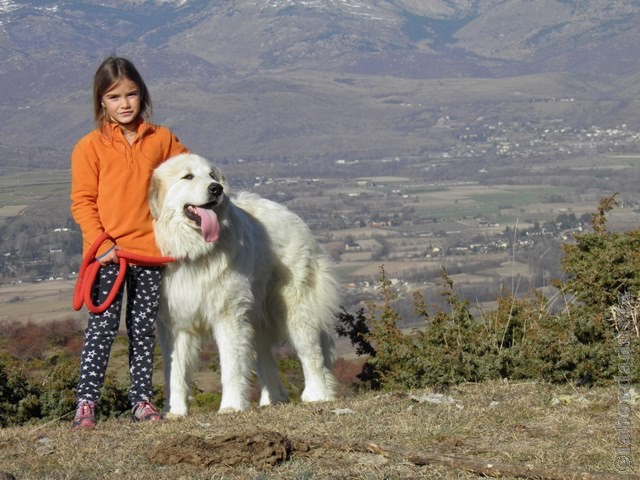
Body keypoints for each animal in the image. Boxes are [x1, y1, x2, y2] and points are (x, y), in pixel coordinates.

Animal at [150, 154, 340, 416]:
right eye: (188, 176)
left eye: (212, 175)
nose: (216, 189)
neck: (195, 251)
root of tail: (291, 215)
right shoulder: (176, 325)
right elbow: (175, 373)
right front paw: (175, 412)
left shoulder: (228, 316)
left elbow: (231, 367)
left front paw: (231, 406)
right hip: (255, 319)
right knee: (266, 359)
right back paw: (272, 400)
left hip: (295, 310)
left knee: (311, 353)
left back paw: (316, 395)